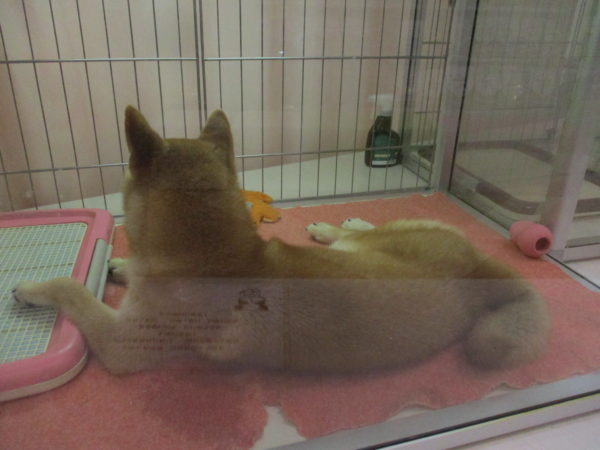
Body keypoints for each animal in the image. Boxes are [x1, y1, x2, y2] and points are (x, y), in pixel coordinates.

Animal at [12, 107, 549, 374]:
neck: (218, 255)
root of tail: (478, 265)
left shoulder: (124, 345)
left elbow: (71, 290)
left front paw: (36, 289)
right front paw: (122, 266)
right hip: (380, 242)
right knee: (358, 233)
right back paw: (335, 225)